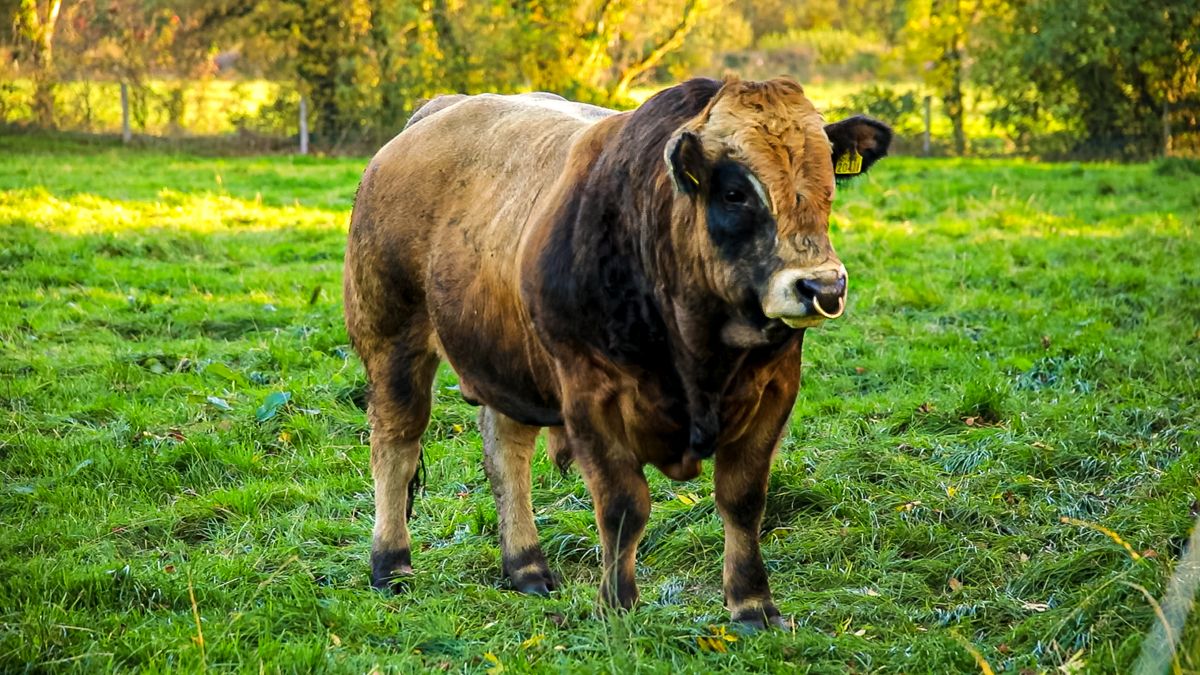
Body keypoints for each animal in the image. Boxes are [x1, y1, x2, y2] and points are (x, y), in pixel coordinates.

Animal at [343, 76, 891, 629]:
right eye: (735, 193)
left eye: (828, 185)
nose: (822, 286)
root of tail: (437, 111)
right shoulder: (590, 394)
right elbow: (625, 505)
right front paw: (618, 605)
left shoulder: (776, 388)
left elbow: (742, 499)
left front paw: (753, 604)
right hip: (390, 336)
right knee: (396, 443)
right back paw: (391, 564)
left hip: (508, 358)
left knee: (506, 453)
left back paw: (526, 566)